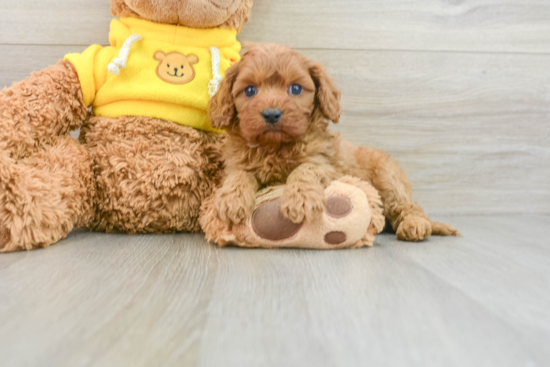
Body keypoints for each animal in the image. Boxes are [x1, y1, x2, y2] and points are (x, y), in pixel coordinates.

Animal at [209, 42, 460, 242]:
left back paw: (415, 225)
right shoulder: (237, 163)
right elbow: (238, 176)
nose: (271, 114)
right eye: (250, 90)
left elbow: (305, 168)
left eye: (295, 88)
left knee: (408, 206)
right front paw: (231, 200)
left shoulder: (328, 166)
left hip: (389, 180)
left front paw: (301, 199)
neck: (275, 146)